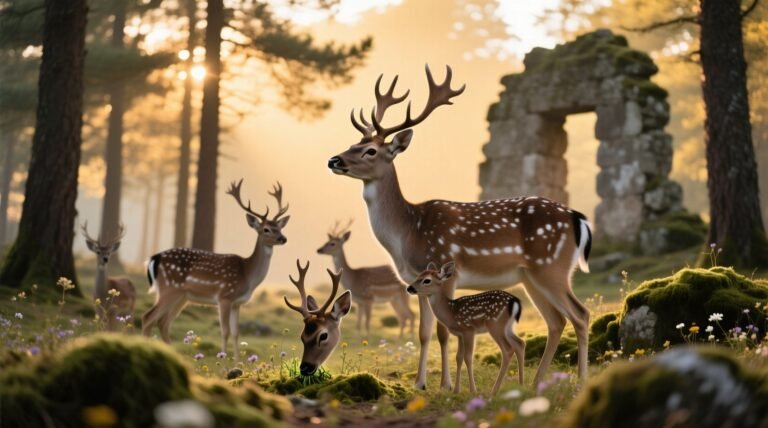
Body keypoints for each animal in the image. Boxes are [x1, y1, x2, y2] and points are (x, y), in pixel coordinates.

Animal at [142, 180, 290, 358]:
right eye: (266, 229)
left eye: (280, 228)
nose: (283, 238)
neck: (247, 274)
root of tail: (154, 258)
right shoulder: (224, 296)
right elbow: (225, 331)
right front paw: (224, 358)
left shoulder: (237, 303)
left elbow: (236, 333)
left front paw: (237, 361)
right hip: (169, 289)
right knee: (147, 318)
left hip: (182, 296)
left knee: (163, 322)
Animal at [406, 261, 524, 395]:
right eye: (417, 276)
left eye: (427, 280)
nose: (409, 288)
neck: (450, 312)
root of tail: (515, 301)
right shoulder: (459, 334)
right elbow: (459, 357)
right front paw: (456, 390)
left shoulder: (469, 329)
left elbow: (468, 357)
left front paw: (473, 390)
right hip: (508, 327)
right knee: (520, 343)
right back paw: (521, 384)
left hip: (496, 325)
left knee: (508, 349)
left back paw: (494, 390)